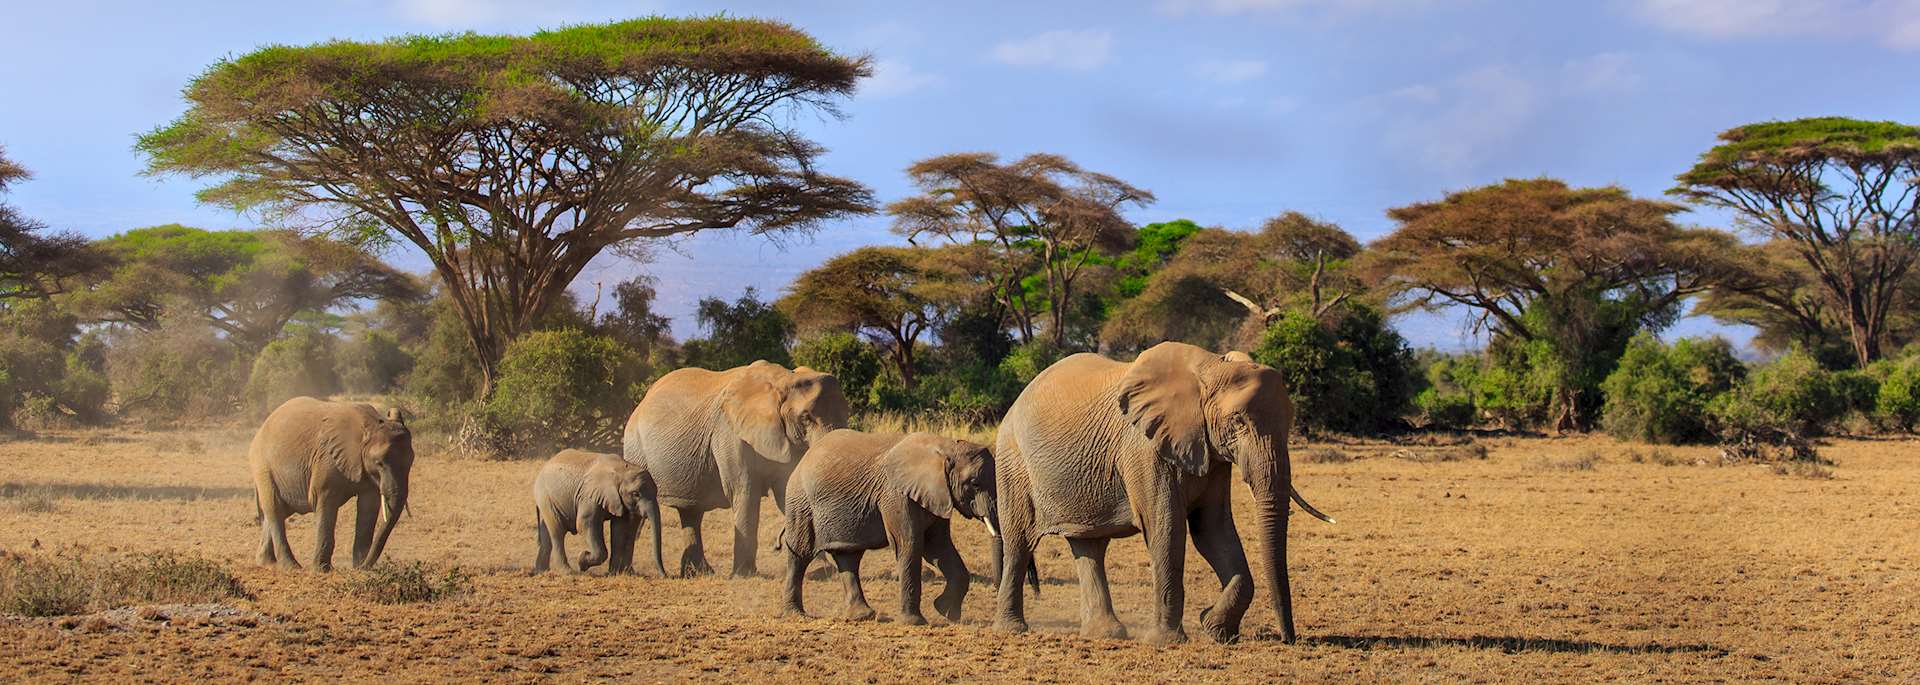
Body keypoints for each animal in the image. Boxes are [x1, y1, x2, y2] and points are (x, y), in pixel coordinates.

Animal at [249, 397, 413, 572]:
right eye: (379, 463)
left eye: (411, 462)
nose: (363, 567)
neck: (369, 426)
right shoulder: (326, 460)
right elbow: (324, 503)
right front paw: (321, 570)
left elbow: (368, 507)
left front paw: (359, 566)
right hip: (263, 466)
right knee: (275, 509)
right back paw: (291, 567)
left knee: (277, 512)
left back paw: (267, 563)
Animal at [531, 449, 663, 575]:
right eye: (636, 494)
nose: (664, 575)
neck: (622, 469)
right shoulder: (588, 496)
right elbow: (585, 523)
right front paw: (582, 561)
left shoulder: (619, 500)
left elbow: (619, 528)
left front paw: (615, 573)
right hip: (546, 497)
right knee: (557, 531)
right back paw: (568, 572)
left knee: (547, 534)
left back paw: (542, 571)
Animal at [623, 360, 851, 578]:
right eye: (805, 418)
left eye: (847, 414)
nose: (776, 546)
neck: (784, 379)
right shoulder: (729, 433)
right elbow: (744, 491)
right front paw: (744, 575)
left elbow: (786, 493)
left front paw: (822, 571)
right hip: (636, 450)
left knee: (691, 512)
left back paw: (700, 573)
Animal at [779, 430, 997, 625]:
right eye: (975, 483)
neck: (946, 447)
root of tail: (804, 457)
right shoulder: (896, 495)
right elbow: (909, 545)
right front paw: (914, 623)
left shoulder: (937, 496)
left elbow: (938, 547)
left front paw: (947, 612)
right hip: (801, 503)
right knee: (801, 553)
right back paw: (796, 614)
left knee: (848, 556)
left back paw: (862, 616)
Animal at [992, 342, 1334, 645]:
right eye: (1237, 422)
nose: (1289, 639)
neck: (1209, 369)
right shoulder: (1144, 450)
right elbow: (1167, 529)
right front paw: (1167, 641)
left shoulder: (1210, 453)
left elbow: (1213, 530)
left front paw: (1214, 628)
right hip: (1012, 462)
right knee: (1020, 542)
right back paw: (1013, 629)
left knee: (1089, 546)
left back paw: (1104, 634)